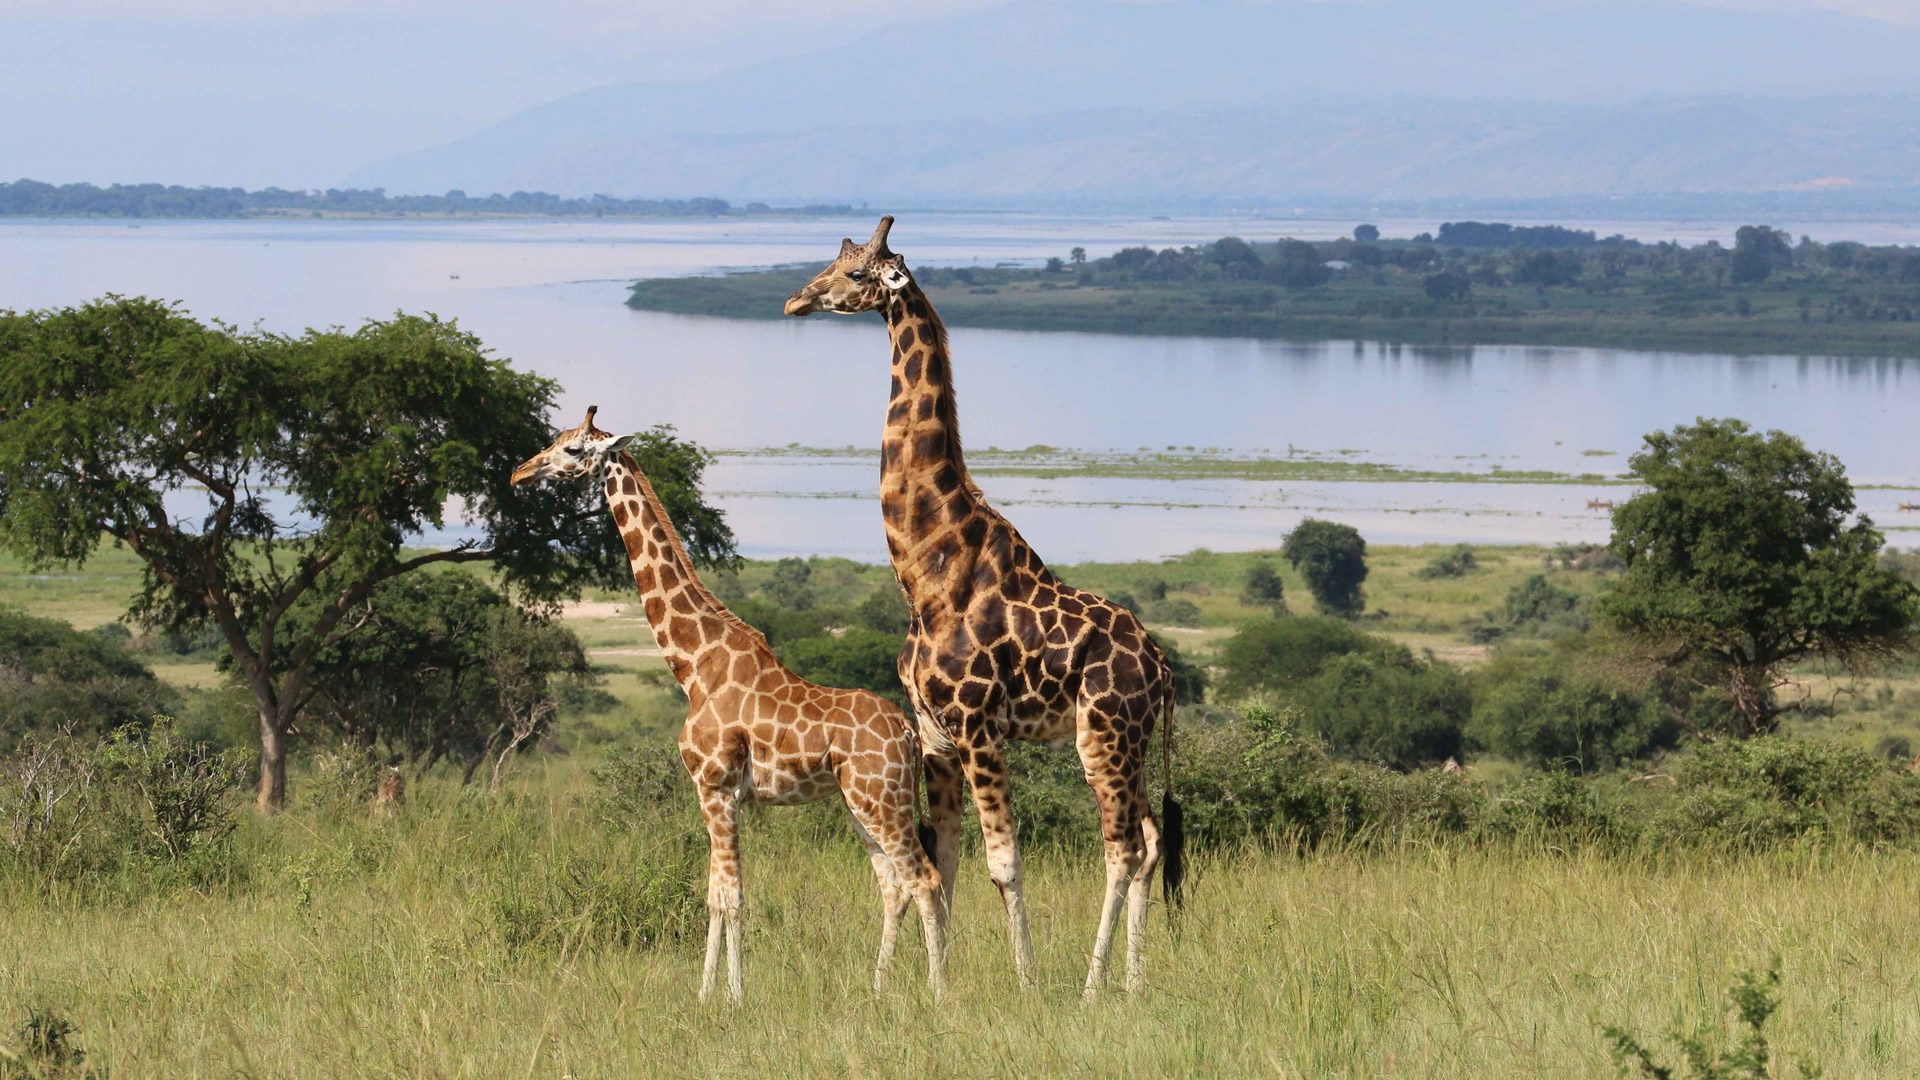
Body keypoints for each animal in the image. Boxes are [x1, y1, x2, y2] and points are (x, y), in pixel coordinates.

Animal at [514, 405, 948, 999]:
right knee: (894, 884)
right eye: (557, 440)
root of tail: (908, 734)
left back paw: (939, 990)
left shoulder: (715, 787)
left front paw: (731, 996)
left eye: (573, 450)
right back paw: (877, 988)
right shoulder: (721, 794)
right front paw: (707, 993)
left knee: (924, 878)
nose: (521, 473)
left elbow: (731, 895)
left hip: (881, 799)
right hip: (863, 802)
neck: (695, 666)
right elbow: (718, 893)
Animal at [783, 216, 1175, 991]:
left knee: (1120, 849)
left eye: (854, 274)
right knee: (1148, 843)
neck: (926, 568)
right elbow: (943, 863)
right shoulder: (935, 734)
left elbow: (1004, 864)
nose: (796, 300)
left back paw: (1092, 987)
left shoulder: (978, 727)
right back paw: (1135, 982)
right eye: (831, 264)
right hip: (1133, 741)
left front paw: (1024, 982)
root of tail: (1164, 670)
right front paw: (936, 982)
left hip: (1103, 734)